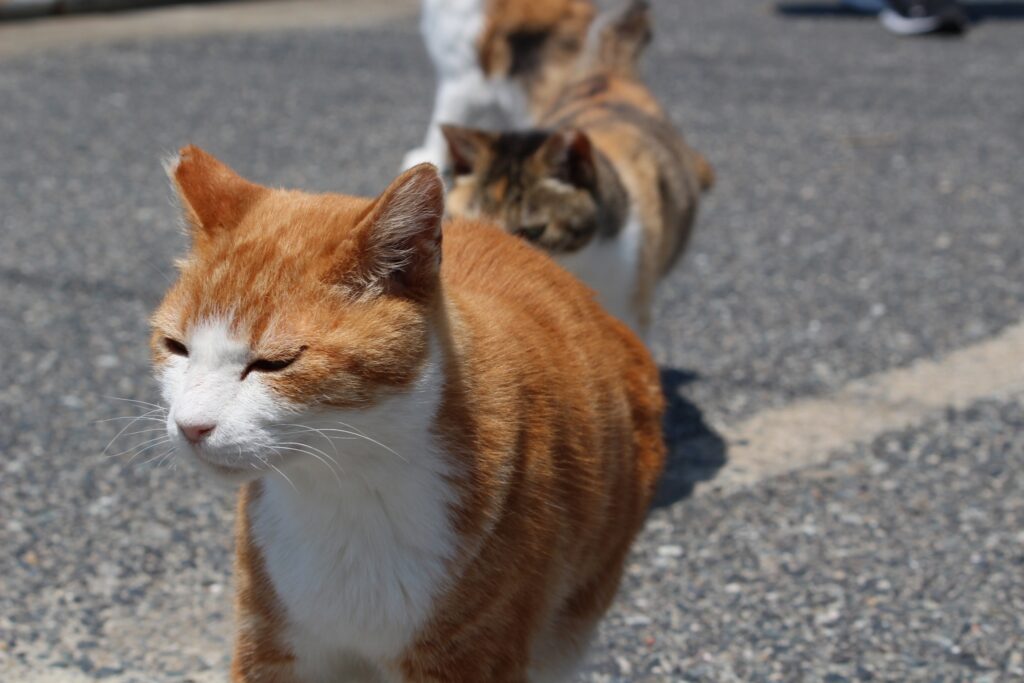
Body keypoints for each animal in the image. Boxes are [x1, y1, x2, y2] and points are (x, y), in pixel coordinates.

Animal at [149, 147, 663, 679]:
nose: (190, 426)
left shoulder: (468, 657)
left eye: (275, 363)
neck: (346, 493)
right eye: (176, 347)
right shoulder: (270, 643)